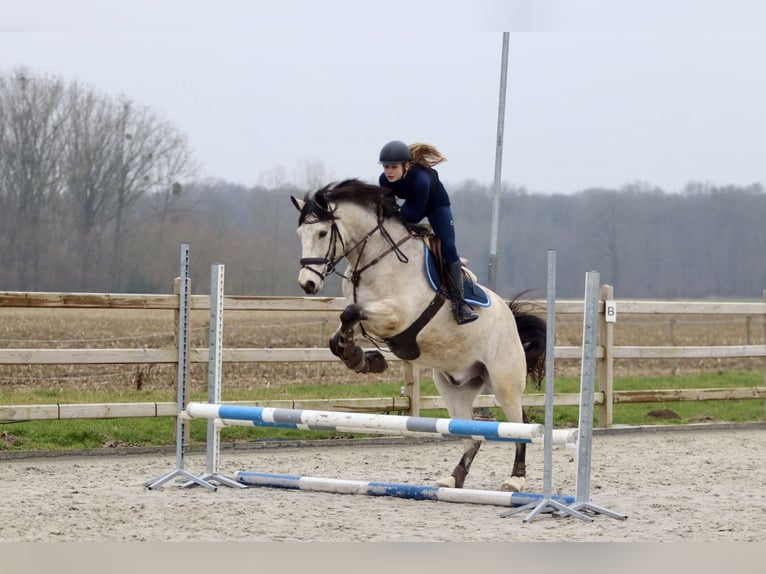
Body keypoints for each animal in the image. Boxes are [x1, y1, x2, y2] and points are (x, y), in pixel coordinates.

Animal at [292, 180, 548, 496]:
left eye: (322, 232)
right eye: (300, 233)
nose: (308, 283)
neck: (375, 258)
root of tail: (511, 319)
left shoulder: (397, 316)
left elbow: (351, 313)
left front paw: (358, 357)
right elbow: (342, 325)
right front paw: (359, 358)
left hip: (504, 383)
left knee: (521, 425)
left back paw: (515, 479)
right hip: (454, 387)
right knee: (473, 436)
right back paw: (453, 479)